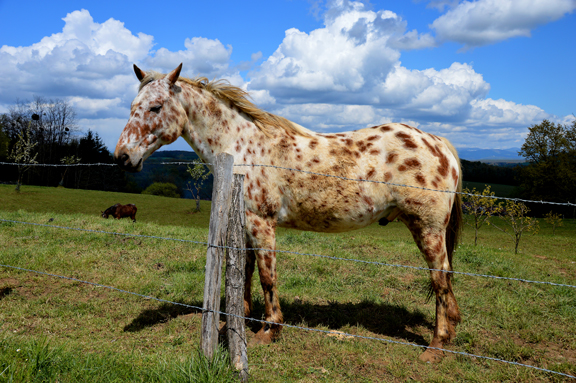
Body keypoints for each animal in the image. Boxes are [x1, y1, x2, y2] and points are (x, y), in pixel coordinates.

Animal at [112, 63, 464, 364]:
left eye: (156, 107)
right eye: (132, 106)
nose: (122, 157)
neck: (242, 147)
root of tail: (439, 143)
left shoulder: (262, 223)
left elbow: (267, 275)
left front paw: (269, 330)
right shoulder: (245, 223)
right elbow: (246, 271)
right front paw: (240, 319)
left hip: (428, 229)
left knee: (440, 279)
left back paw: (436, 347)